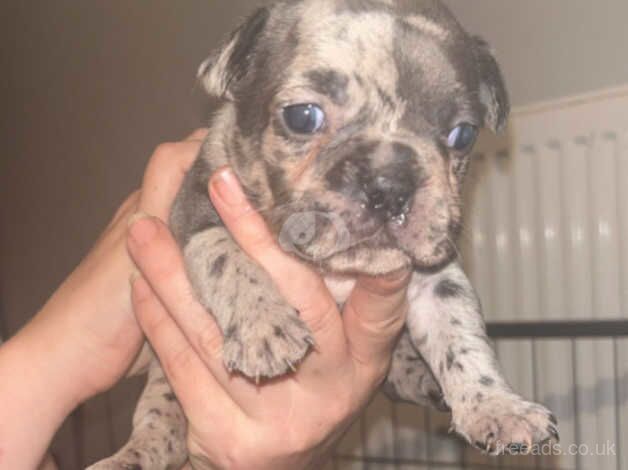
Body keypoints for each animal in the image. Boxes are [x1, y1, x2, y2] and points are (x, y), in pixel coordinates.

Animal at [89, 1, 560, 468]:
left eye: (462, 135)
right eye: (302, 117)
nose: (390, 185)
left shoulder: (436, 275)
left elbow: (460, 332)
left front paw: (497, 406)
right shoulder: (194, 208)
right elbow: (221, 252)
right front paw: (263, 324)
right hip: (162, 384)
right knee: (159, 420)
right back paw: (130, 455)